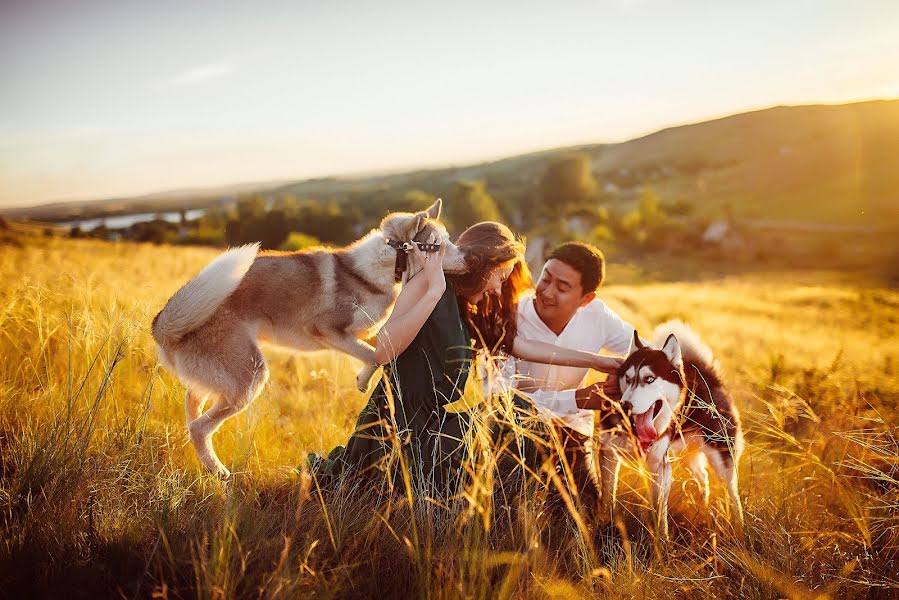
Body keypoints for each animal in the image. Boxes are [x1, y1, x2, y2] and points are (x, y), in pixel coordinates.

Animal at [151, 199, 464, 476]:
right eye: (438, 244)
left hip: (216, 379)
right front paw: (363, 378)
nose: (467, 257)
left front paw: (362, 376)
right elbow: (374, 357)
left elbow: (373, 350)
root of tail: (162, 324)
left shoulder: (359, 334)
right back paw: (217, 471)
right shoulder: (327, 331)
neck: (379, 268)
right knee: (199, 428)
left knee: (192, 402)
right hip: (250, 377)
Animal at [596, 322, 744, 536]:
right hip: (687, 455)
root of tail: (705, 373)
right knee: (704, 478)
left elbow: (659, 508)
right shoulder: (608, 454)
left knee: (732, 491)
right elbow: (607, 494)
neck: (634, 431)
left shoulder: (659, 465)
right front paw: (603, 521)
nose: (625, 405)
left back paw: (739, 525)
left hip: (721, 455)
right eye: (628, 378)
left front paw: (662, 539)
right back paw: (703, 509)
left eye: (649, 379)